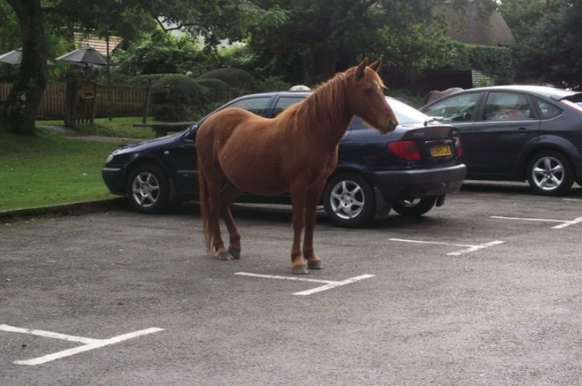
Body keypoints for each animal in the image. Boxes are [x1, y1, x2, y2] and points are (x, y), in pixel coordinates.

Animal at [198, 58, 400, 274]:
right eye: (368, 90)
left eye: (382, 89)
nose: (392, 123)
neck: (311, 132)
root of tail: (207, 122)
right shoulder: (298, 184)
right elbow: (298, 221)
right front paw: (297, 261)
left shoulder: (318, 184)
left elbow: (310, 221)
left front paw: (312, 258)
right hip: (213, 176)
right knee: (214, 205)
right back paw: (221, 250)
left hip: (237, 180)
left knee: (224, 203)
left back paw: (235, 246)